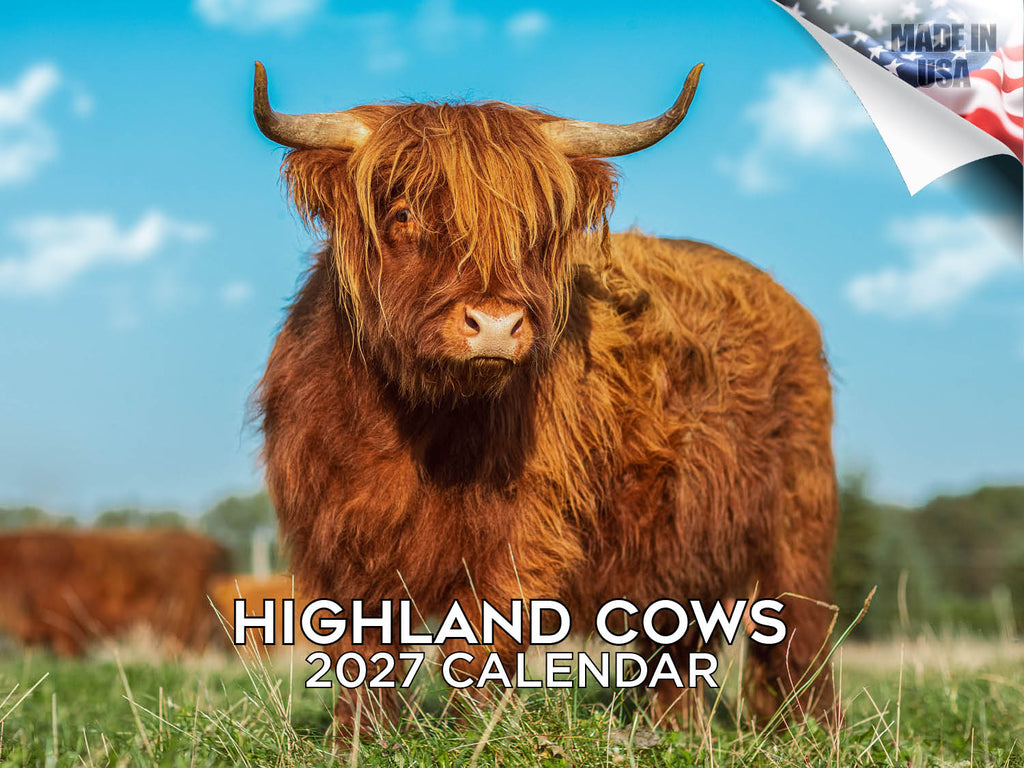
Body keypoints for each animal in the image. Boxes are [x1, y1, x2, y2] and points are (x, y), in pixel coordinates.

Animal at [252, 60, 839, 737]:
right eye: (402, 213)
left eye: (532, 228)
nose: (496, 324)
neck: (416, 426)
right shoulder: (334, 530)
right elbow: (359, 648)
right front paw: (358, 738)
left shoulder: (526, 529)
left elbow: (481, 642)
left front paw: (472, 736)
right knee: (679, 648)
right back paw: (675, 733)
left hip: (797, 521)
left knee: (802, 634)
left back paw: (812, 732)